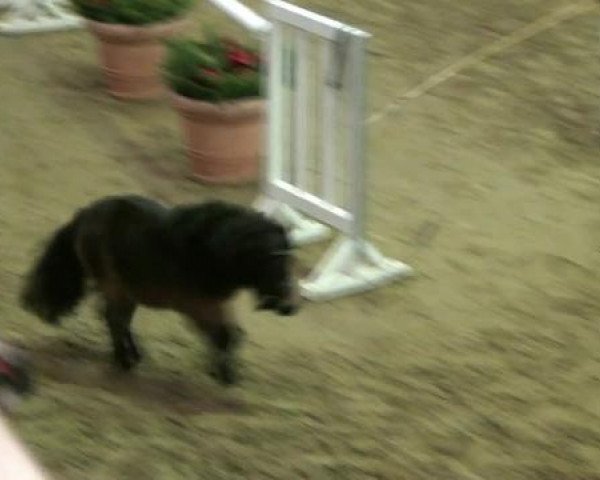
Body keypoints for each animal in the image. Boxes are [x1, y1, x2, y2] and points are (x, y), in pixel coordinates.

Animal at [19, 193, 298, 384]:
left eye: (288, 260)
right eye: (275, 260)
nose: (290, 306)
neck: (210, 247)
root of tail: (83, 216)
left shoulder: (215, 304)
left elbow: (232, 334)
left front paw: (222, 370)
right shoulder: (198, 306)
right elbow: (226, 335)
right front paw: (225, 374)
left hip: (126, 292)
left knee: (117, 320)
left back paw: (133, 355)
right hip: (116, 288)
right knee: (114, 320)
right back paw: (125, 360)